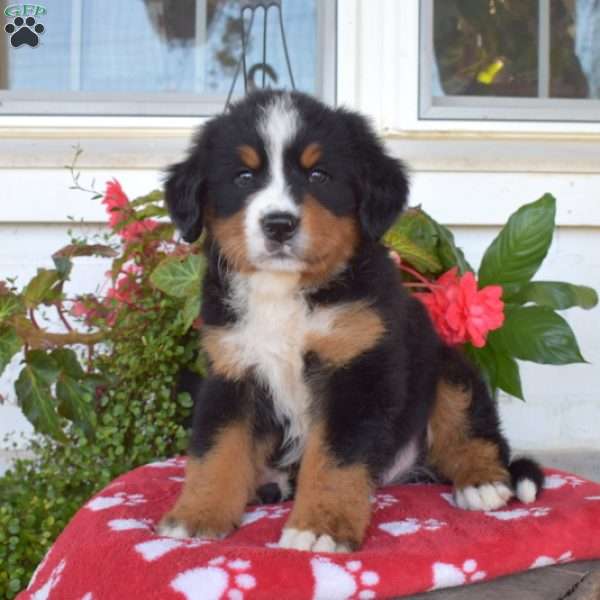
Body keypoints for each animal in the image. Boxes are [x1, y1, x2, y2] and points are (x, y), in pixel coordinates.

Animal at [156, 90, 544, 552]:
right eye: (244, 177)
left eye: (319, 174)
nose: (279, 224)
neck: (286, 293)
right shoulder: (233, 370)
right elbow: (216, 450)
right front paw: (196, 515)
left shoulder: (357, 370)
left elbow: (334, 461)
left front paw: (319, 527)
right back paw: (270, 482)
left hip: (447, 367)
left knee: (473, 430)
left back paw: (482, 482)